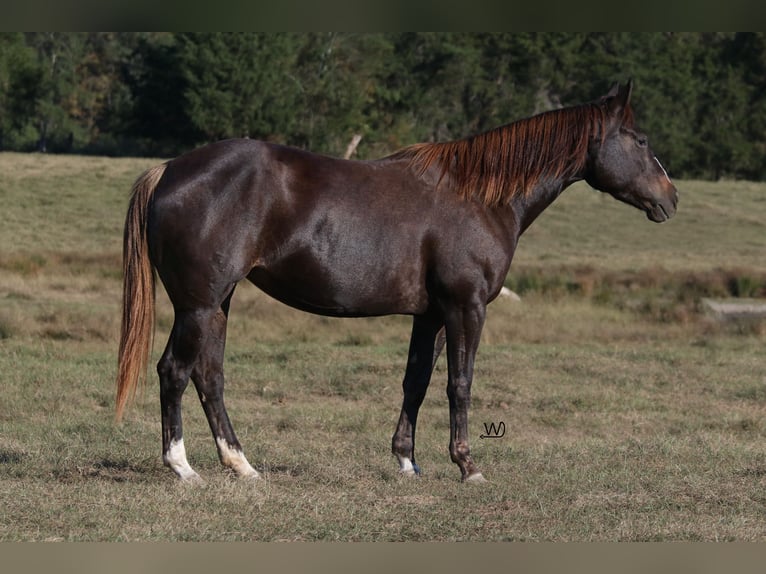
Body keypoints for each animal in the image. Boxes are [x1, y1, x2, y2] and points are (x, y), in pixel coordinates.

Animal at [114, 79, 680, 484]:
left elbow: (416, 381)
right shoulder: (466, 307)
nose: (670, 198)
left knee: (209, 377)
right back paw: (183, 468)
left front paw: (408, 461)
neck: (480, 197)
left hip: (218, 303)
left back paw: (242, 466)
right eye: (641, 139)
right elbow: (459, 383)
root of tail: (169, 170)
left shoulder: (430, 314)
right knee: (174, 371)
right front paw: (468, 466)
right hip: (198, 305)